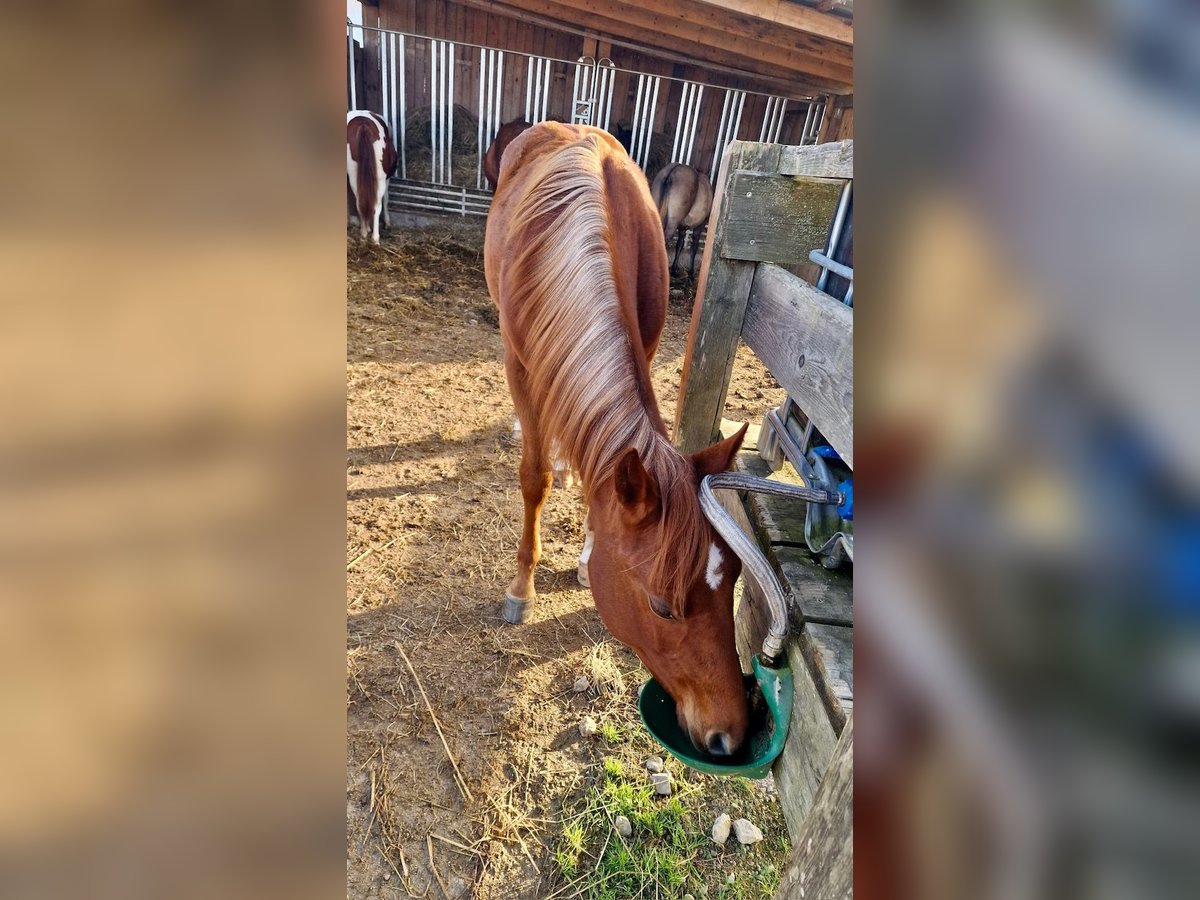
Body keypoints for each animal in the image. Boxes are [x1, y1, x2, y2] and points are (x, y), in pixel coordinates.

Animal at [484, 123, 748, 763]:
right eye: (661, 605)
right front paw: (522, 587)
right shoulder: (520, 365)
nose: (731, 734)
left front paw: (585, 556)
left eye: (731, 580)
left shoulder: (643, 345)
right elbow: (535, 477)